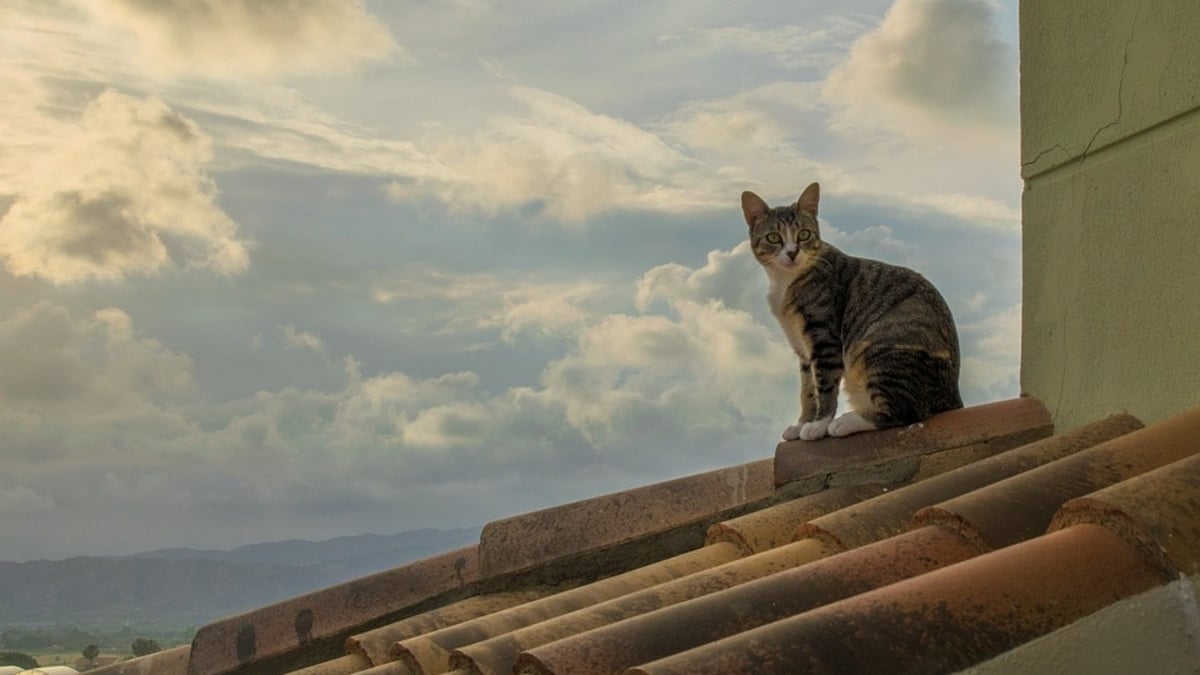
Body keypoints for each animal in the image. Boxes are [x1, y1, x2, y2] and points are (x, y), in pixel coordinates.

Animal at [739, 181, 964, 439]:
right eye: (774, 238)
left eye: (804, 234)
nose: (792, 252)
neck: (786, 281)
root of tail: (953, 396)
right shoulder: (802, 347)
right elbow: (807, 389)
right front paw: (801, 423)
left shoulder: (824, 337)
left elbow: (824, 385)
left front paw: (818, 425)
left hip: (876, 349)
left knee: (906, 411)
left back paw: (847, 421)